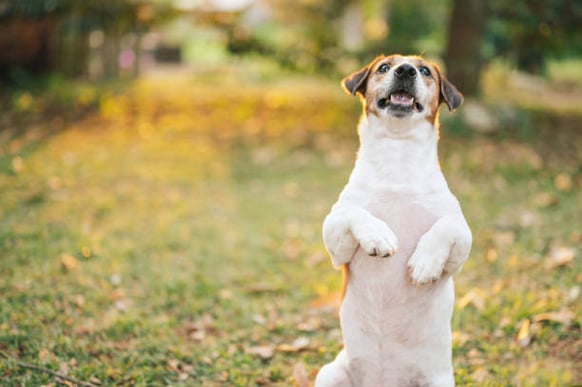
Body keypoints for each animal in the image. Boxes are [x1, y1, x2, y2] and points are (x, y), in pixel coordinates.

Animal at [314, 55, 474, 387]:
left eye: (425, 70)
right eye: (384, 67)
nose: (406, 70)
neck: (398, 160)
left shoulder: (461, 246)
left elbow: (446, 226)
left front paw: (425, 263)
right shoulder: (336, 241)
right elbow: (355, 212)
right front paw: (379, 236)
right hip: (331, 373)